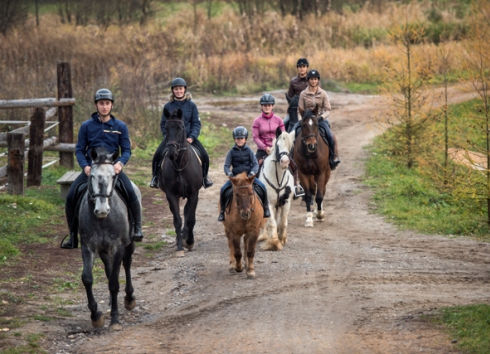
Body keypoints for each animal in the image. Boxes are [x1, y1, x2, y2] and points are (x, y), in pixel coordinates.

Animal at [78, 146, 140, 332]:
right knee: (109, 269)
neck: (103, 220)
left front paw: (115, 320)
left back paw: (129, 298)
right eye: (91, 175)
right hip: (104, 251)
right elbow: (87, 278)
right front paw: (96, 316)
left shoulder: (118, 247)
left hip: (129, 244)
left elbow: (114, 282)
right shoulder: (88, 247)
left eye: (113, 176)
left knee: (126, 264)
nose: (102, 210)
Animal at [158, 108, 202, 258]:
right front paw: (179, 247)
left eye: (180, 127)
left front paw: (189, 242)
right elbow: (177, 219)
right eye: (166, 128)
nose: (172, 152)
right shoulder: (171, 195)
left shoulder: (194, 194)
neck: (180, 165)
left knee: (188, 212)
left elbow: (191, 219)